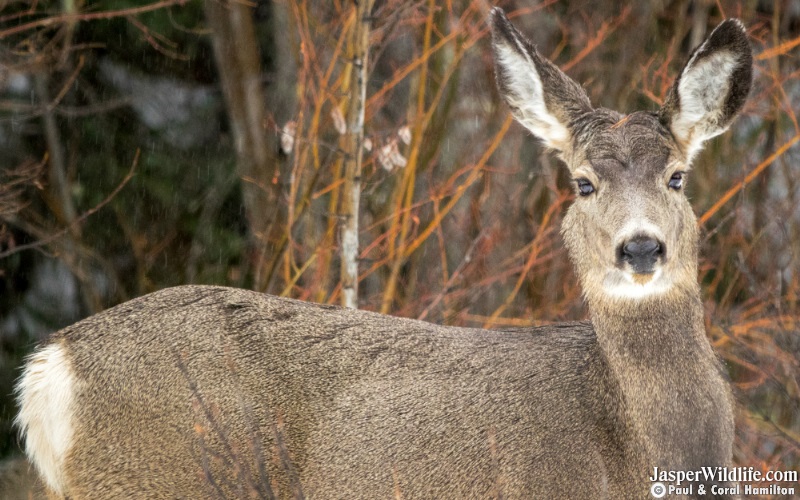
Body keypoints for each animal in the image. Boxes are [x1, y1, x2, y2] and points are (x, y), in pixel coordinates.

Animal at [14, 8, 752, 500]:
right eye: (583, 183)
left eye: (677, 177)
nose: (641, 247)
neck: (646, 452)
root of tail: (49, 368)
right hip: (162, 475)